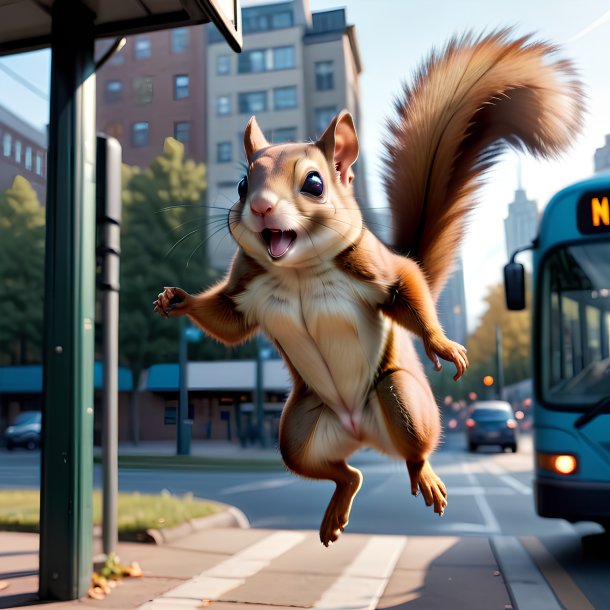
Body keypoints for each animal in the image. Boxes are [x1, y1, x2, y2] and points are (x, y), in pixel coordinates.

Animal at [154, 28, 580, 544]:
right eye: (240, 185)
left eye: (315, 183)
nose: (259, 207)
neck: (296, 269)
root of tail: (361, 433)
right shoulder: (244, 288)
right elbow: (229, 321)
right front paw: (176, 300)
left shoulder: (374, 266)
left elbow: (407, 284)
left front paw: (441, 344)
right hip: (296, 429)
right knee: (343, 472)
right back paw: (340, 501)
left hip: (402, 400)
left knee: (412, 450)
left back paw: (425, 475)